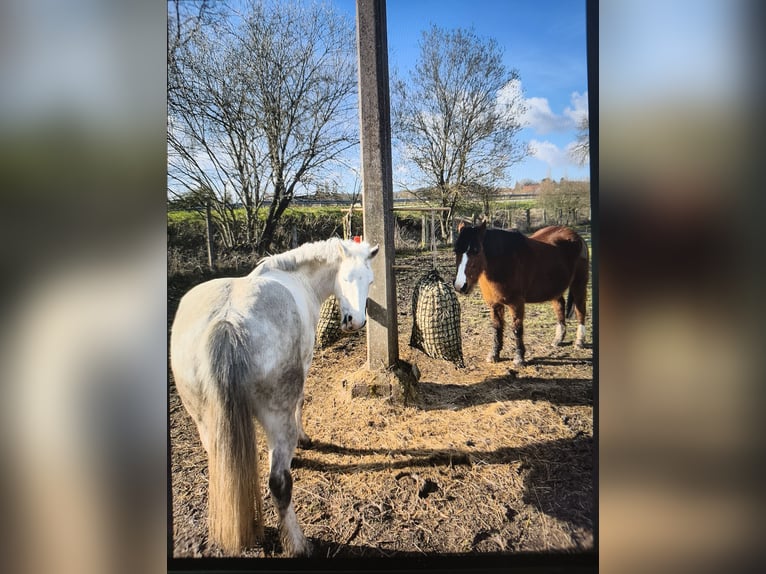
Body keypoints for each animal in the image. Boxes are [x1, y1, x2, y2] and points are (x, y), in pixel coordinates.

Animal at [170, 238, 378, 556]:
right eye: (346, 278)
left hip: (205, 421)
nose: (355, 321)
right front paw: (304, 439)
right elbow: (301, 401)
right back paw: (299, 544)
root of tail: (228, 323)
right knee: (280, 483)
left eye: (369, 280)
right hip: (276, 417)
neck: (296, 276)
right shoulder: (305, 363)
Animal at [453, 221, 588, 366]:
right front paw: (494, 354)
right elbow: (497, 327)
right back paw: (558, 339)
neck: (504, 261)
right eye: (456, 251)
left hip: (579, 284)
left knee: (580, 309)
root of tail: (577, 237)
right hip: (555, 288)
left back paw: (579, 341)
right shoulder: (494, 304)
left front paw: (519, 357)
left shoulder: (516, 303)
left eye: (476, 251)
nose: (460, 286)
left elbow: (517, 329)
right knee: (560, 307)